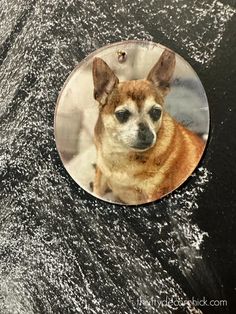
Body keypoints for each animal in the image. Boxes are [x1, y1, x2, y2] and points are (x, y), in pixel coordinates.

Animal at [91, 49, 204, 204]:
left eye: (156, 112)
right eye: (122, 114)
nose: (148, 135)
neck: (121, 156)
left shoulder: (154, 194)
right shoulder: (101, 176)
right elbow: (97, 190)